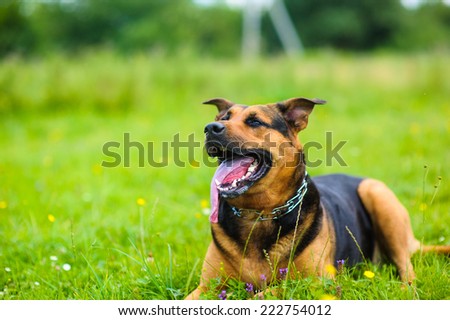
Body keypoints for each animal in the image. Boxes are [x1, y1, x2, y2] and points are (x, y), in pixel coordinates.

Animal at [185, 97, 446, 300]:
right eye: (224, 117)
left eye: (254, 121)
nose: (211, 127)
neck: (257, 214)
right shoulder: (205, 287)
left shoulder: (317, 282)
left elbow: (263, 294)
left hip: (378, 195)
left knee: (406, 267)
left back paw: (404, 289)